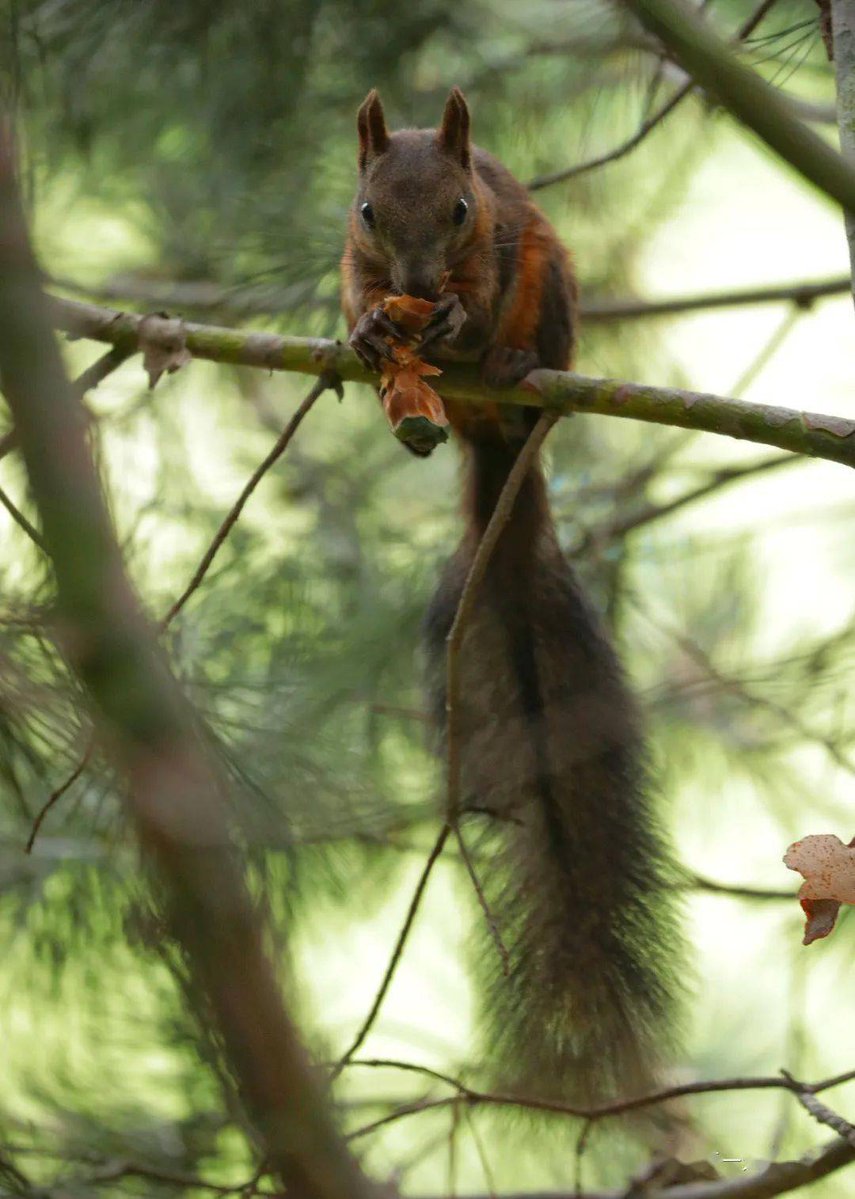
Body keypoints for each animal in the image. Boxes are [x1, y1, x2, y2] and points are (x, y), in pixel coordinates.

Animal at [341, 87, 684, 1104]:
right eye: (366, 211)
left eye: (461, 210)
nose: (417, 279)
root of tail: (498, 440)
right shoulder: (350, 261)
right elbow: (352, 299)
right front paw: (369, 331)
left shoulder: (497, 245)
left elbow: (478, 299)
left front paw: (454, 319)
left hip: (551, 277)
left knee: (535, 341)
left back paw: (507, 363)